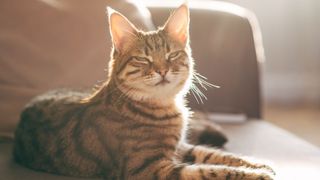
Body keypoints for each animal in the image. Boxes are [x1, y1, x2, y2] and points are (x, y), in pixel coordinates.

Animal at [13, 3, 276, 179]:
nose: (162, 70)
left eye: (172, 55)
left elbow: (215, 155)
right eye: (143, 59)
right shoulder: (149, 168)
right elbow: (209, 171)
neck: (165, 105)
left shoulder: (181, 148)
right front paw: (256, 174)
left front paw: (258, 164)